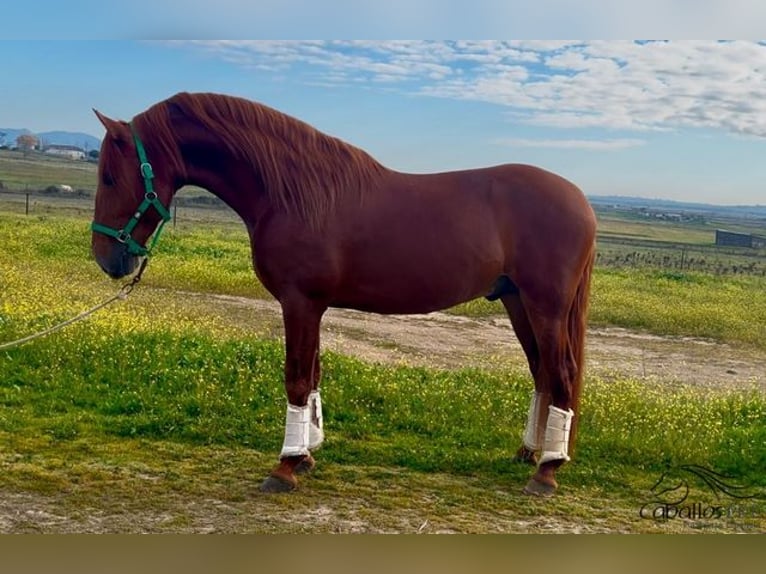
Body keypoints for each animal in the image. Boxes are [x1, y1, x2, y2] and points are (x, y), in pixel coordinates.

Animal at [88, 92, 592, 498]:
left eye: (110, 177)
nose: (106, 257)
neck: (293, 192)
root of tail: (581, 199)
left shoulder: (299, 302)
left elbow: (296, 378)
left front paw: (284, 467)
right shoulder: (312, 306)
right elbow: (312, 376)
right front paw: (306, 455)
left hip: (545, 305)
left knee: (562, 372)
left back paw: (546, 472)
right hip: (516, 301)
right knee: (542, 372)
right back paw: (531, 453)